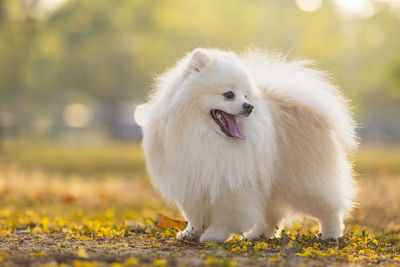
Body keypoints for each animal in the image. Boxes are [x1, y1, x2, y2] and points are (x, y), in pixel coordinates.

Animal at [134, 47, 356, 243]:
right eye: (229, 94)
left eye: (246, 95)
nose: (249, 106)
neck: (206, 137)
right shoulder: (193, 180)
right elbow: (195, 215)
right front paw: (191, 233)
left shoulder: (231, 184)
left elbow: (224, 216)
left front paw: (214, 235)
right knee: (273, 215)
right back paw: (258, 235)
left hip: (304, 182)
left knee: (329, 209)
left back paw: (331, 234)